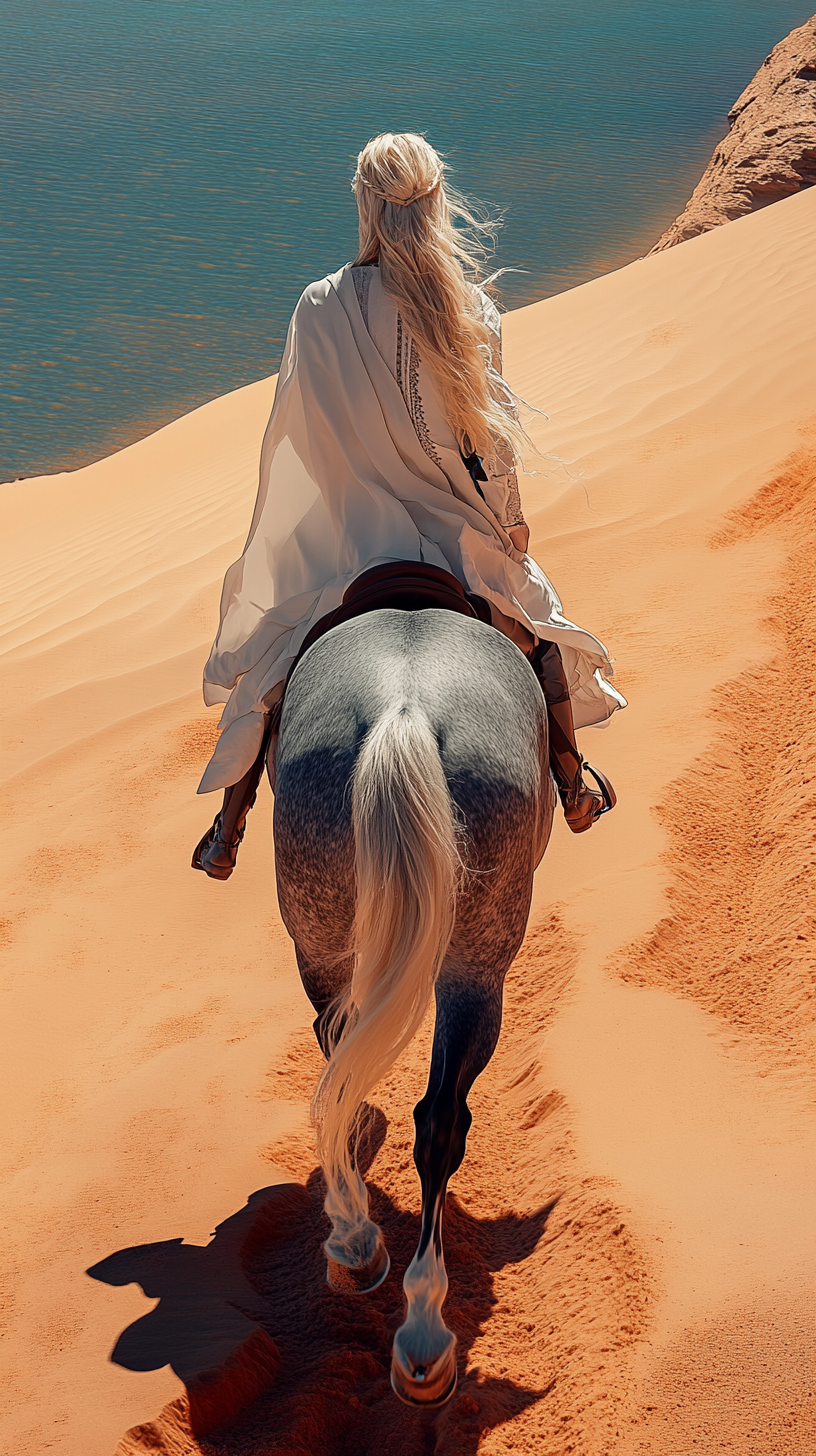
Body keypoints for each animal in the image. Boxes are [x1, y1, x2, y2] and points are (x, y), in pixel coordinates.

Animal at [273, 602, 553, 1397]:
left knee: (336, 1056)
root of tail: (404, 708)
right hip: (478, 958)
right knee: (441, 1119)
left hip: (318, 926)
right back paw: (425, 1333)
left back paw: (353, 1241)